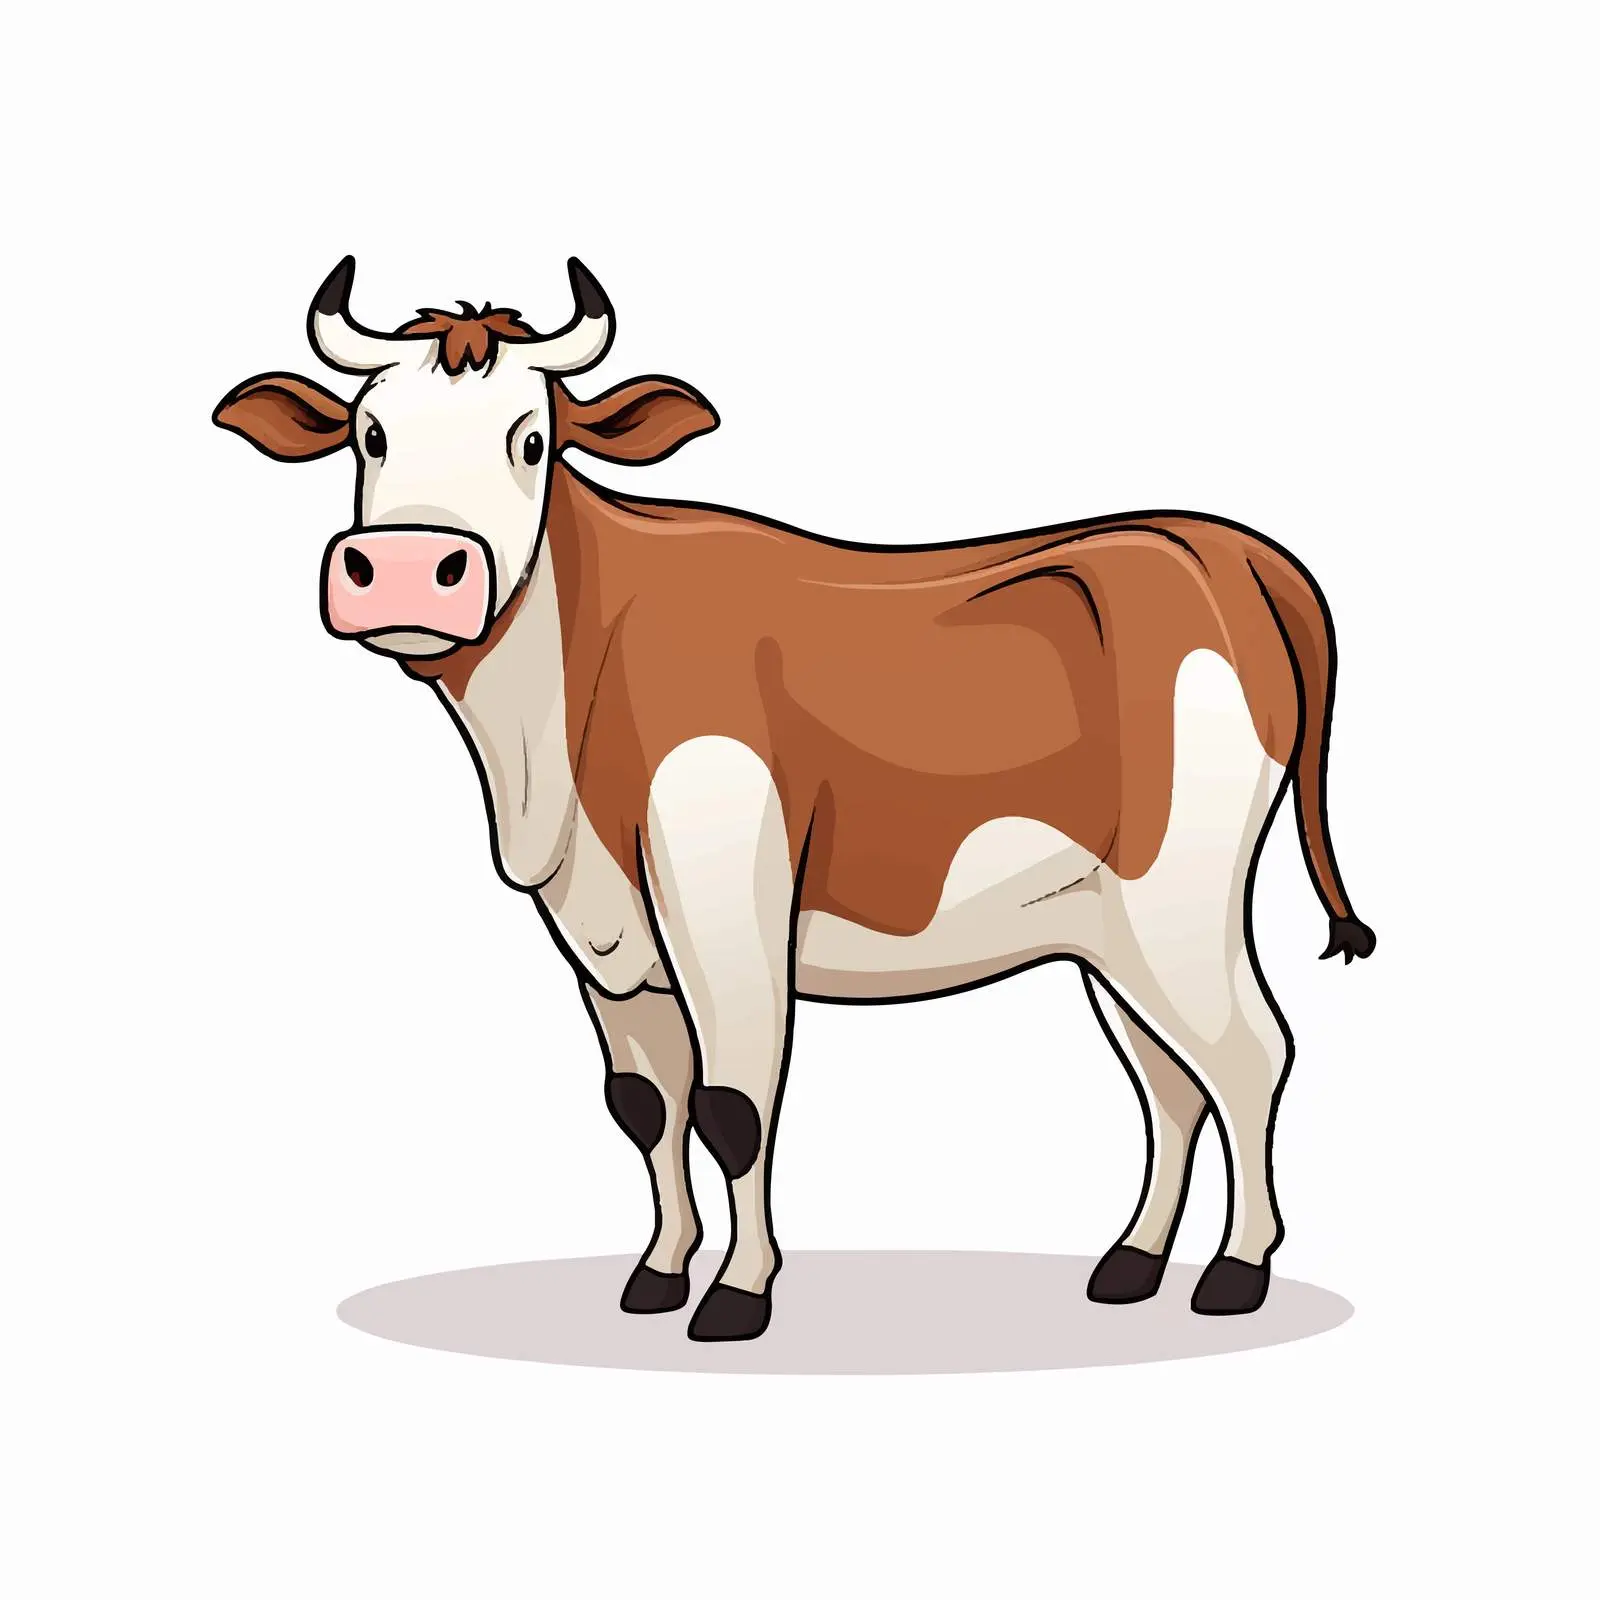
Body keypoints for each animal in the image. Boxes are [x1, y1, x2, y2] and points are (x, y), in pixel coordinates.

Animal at [214, 258, 1374, 1342]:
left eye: (533, 440)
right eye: (367, 435)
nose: (411, 569)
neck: (550, 743)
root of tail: (1219, 545)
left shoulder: (726, 903)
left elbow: (734, 1105)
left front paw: (739, 1292)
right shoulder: (603, 937)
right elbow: (645, 1105)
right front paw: (657, 1273)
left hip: (1179, 895)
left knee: (1250, 1054)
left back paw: (1236, 1272)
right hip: (1106, 926)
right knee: (1169, 1077)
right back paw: (1131, 1263)